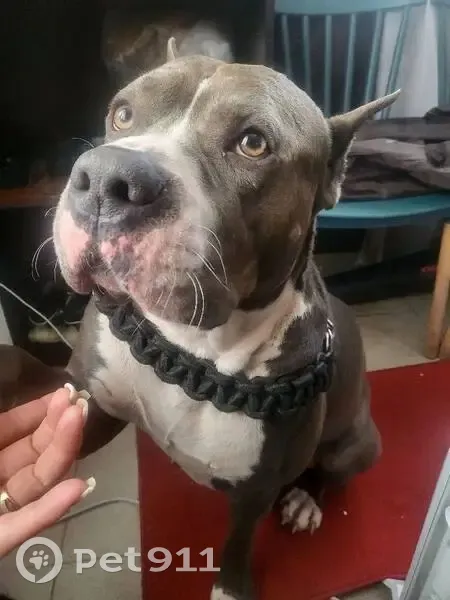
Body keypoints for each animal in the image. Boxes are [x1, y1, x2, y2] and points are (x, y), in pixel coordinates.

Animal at [3, 40, 398, 600]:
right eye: (122, 113)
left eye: (253, 143)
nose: (105, 178)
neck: (191, 351)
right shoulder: (88, 403)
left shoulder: (256, 491)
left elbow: (237, 543)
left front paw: (229, 587)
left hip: (359, 443)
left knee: (331, 471)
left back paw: (306, 499)